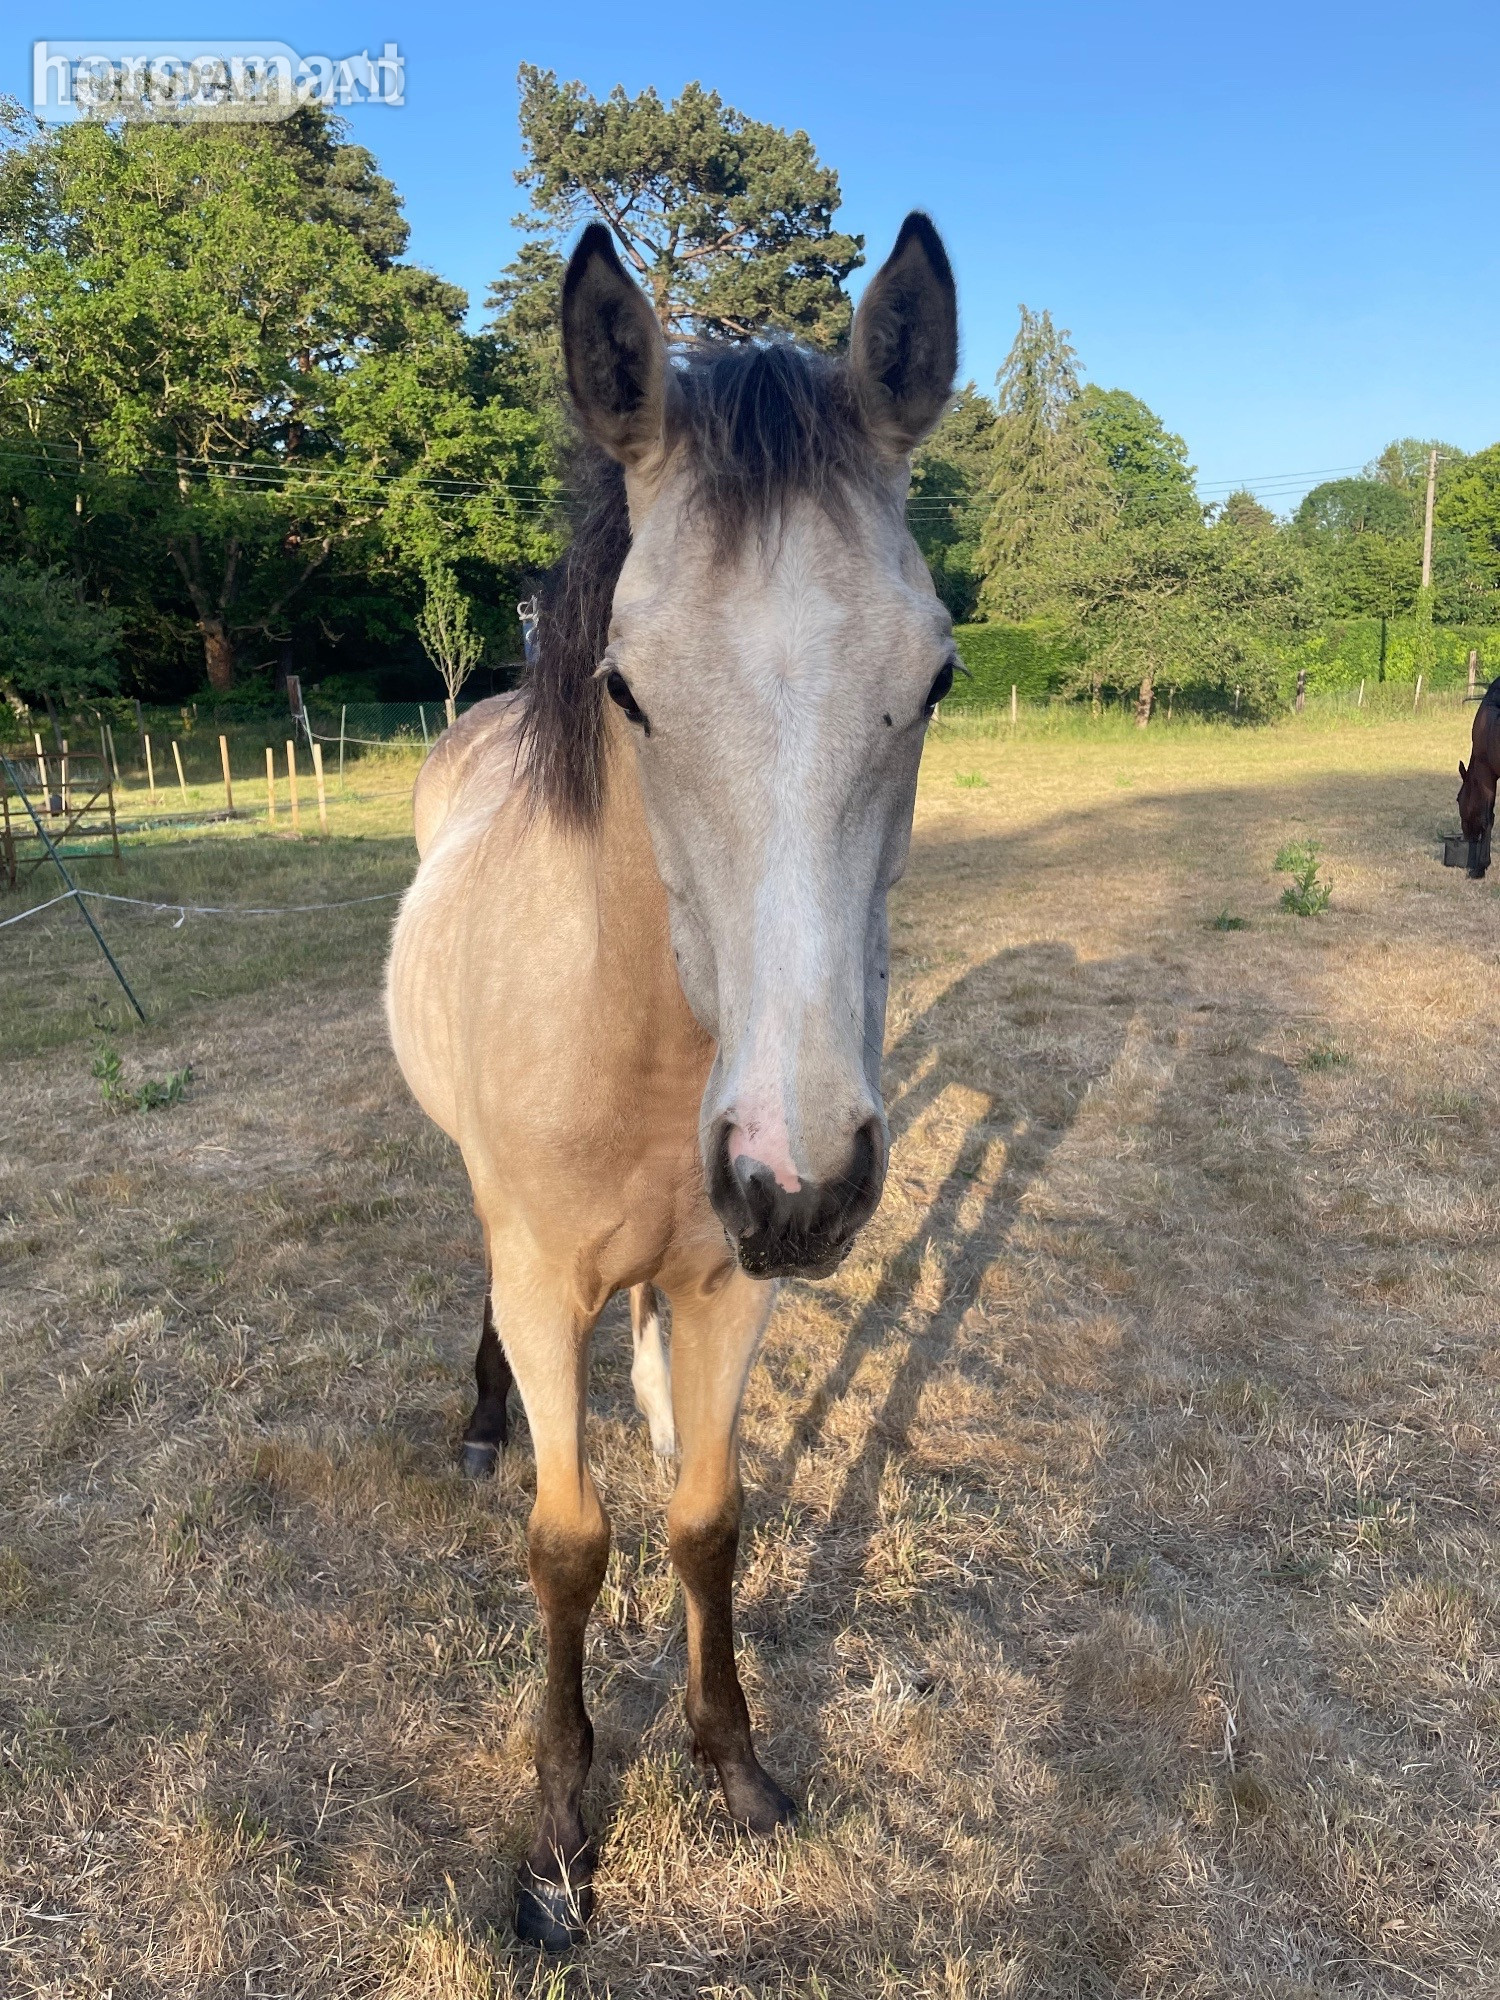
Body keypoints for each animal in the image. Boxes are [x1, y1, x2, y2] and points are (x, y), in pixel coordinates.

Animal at [386, 213, 958, 1948]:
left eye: (935, 679)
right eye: (629, 686)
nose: (802, 1179)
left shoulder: (726, 1280)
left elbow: (709, 1519)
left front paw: (733, 1764)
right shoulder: (542, 1271)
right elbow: (570, 1549)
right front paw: (560, 1835)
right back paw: (483, 1420)